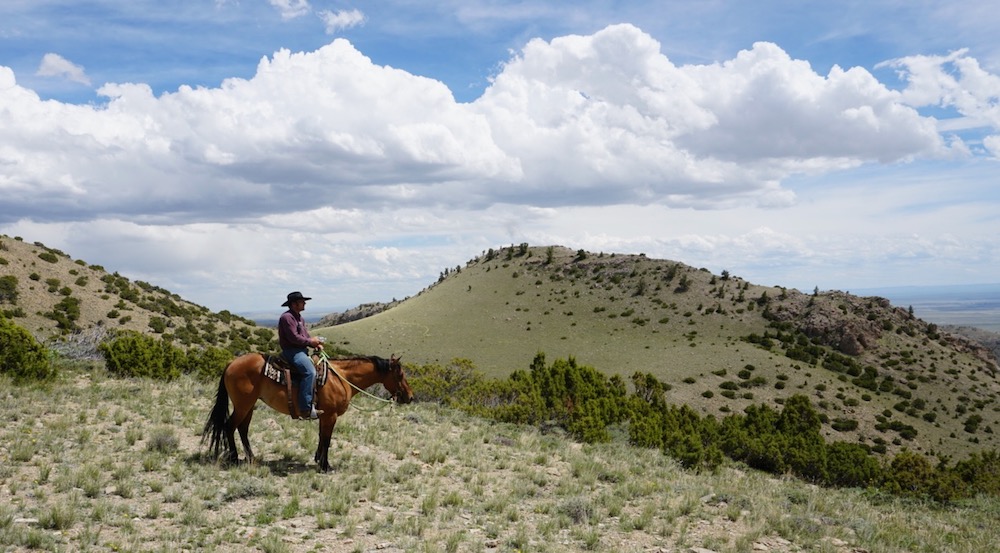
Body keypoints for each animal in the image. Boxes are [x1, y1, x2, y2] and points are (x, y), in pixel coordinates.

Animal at [201, 352, 412, 472]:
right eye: (400, 374)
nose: (409, 397)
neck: (341, 378)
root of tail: (231, 363)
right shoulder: (330, 416)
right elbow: (327, 439)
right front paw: (325, 466)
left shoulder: (323, 416)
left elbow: (321, 437)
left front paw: (318, 460)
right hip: (243, 405)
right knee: (230, 426)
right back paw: (234, 459)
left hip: (249, 406)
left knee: (242, 429)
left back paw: (251, 458)